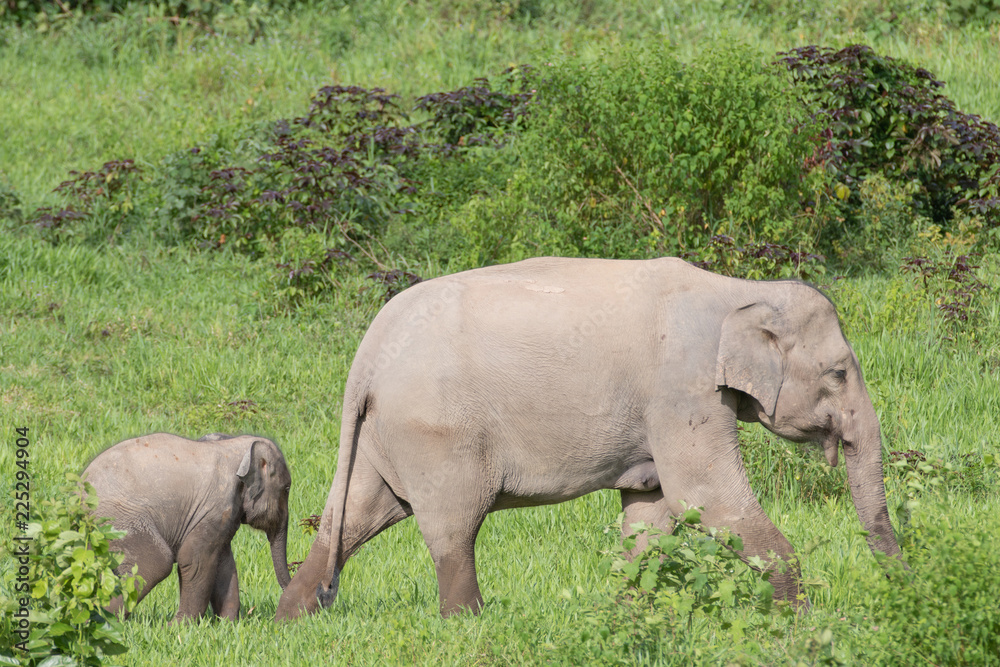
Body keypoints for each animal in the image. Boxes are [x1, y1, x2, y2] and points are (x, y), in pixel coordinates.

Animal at [82, 432, 292, 622]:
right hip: (118, 521)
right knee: (157, 562)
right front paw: (179, 626)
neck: (232, 445)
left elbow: (223, 562)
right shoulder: (216, 506)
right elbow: (194, 559)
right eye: (287, 489)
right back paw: (103, 619)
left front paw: (227, 625)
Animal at [275, 256, 902, 620]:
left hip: (383, 434)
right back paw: (469, 623)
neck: (738, 290)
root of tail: (368, 354)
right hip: (435, 431)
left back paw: (294, 618)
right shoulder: (682, 389)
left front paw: (629, 614)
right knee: (453, 526)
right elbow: (705, 496)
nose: (900, 585)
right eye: (838, 374)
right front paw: (801, 623)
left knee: (354, 515)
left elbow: (651, 510)